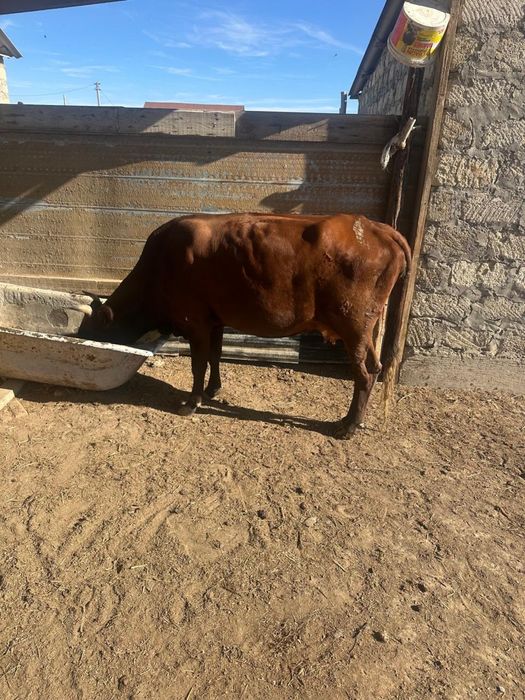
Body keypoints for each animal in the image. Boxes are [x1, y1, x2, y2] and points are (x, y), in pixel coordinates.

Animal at [77, 213, 410, 438]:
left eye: (92, 332)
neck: (159, 267)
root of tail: (375, 227)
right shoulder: (215, 320)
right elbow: (215, 356)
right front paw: (213, 389)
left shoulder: (195, 321)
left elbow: (198, 364)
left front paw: (192, 402)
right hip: (363, 329)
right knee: (374, 367)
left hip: (353, 324)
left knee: (364, 374)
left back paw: (348, 426)